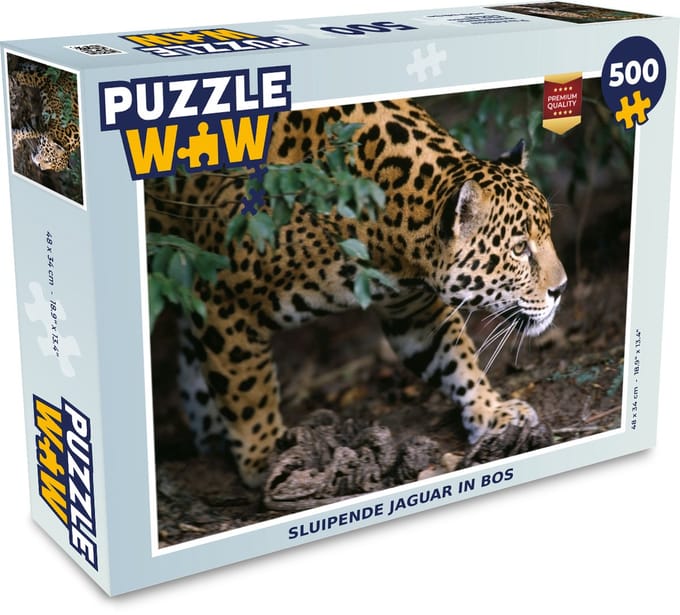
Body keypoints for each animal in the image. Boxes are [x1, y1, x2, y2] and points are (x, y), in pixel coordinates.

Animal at [145, 98, 567, 488]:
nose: (561, 288)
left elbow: (456, 359)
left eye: (546, 232)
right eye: (519, 249)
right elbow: (248, 390)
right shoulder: (224, 296)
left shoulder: (411, 311)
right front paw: (264, 457)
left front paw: (492, 411)